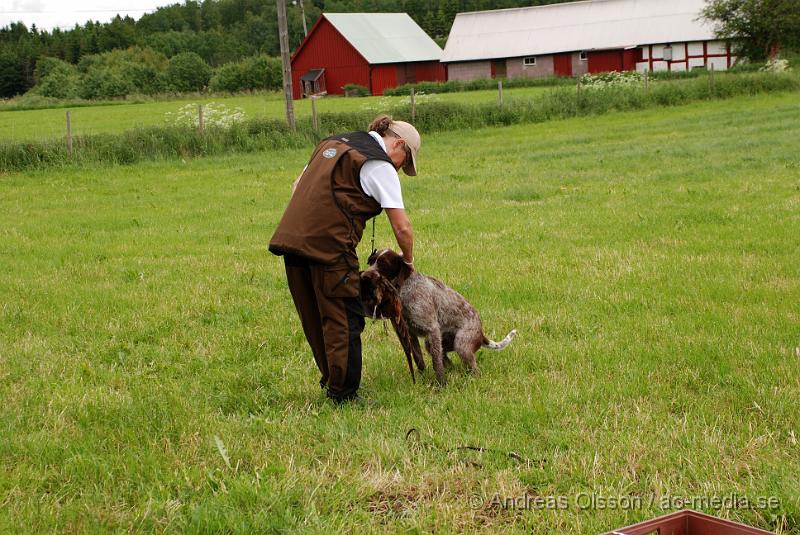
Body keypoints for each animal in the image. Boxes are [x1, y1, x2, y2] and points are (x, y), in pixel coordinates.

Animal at [360, 249, 516, 384]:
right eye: (371, 261)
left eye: (383, 263)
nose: (364, 276)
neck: (404, 288)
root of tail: (482, 334)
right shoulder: (410, 334)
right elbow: (419, 361)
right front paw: (423, 380)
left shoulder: (432, 329)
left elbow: (436, 364)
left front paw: (441, 384)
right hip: (435, 343)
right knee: (447, 360)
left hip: (461, 345)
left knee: (473, 369)